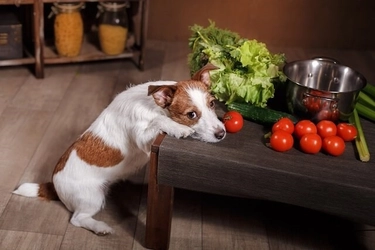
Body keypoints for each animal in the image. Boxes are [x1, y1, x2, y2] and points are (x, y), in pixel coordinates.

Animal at [12, 62, 226, 234]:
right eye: (191, 115)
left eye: (212, 103)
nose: (222, 133)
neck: (153, 105)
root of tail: (53, 184)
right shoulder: (143, 139)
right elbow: (158, 121)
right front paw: (178, 128)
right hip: (92, 197)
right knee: (77, 219)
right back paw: (100, 227)